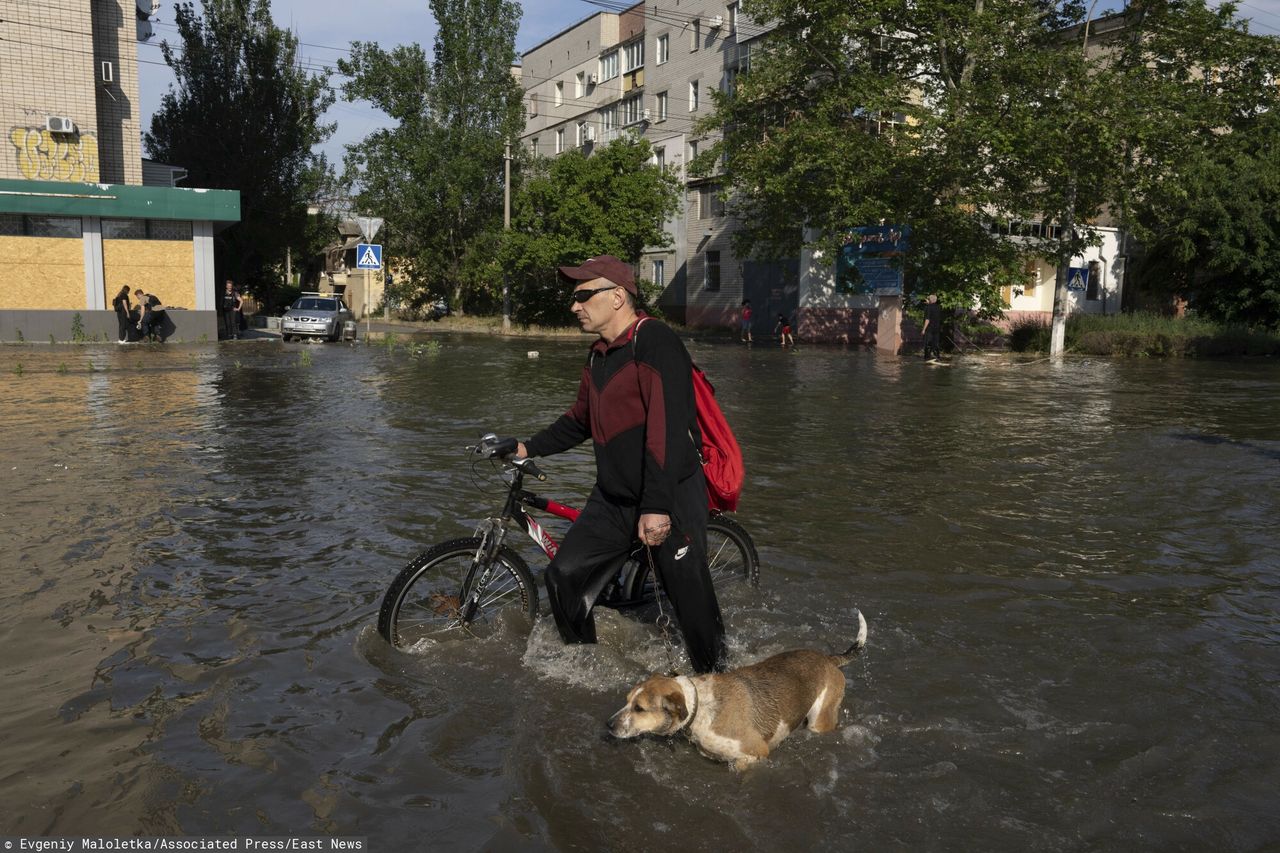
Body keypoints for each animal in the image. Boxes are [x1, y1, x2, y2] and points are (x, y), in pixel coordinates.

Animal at [609, 607, 870, 768]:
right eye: (627, 700)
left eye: (640, 708)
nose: (608, 724)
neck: (700, 706)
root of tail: (829, 659)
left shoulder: (757, 753)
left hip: (820, 721)